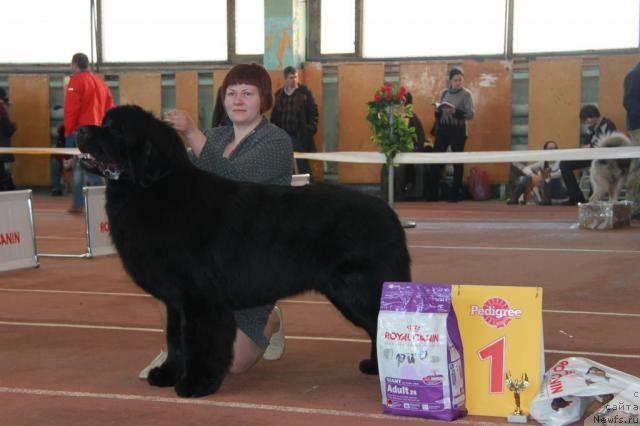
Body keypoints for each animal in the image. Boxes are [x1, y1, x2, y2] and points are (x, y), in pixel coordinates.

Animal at [76, 105, 410, 398]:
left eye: (116, 129)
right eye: (103, 121)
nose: (79, 130)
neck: (153, 190)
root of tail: (389, 212)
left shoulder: (200, 296)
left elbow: (198, 340)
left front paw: (196, 383)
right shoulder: (176, 300)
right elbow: (176, 339)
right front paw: (169, 373)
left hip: (359, 288)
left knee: (384, 322)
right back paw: (377, 367)